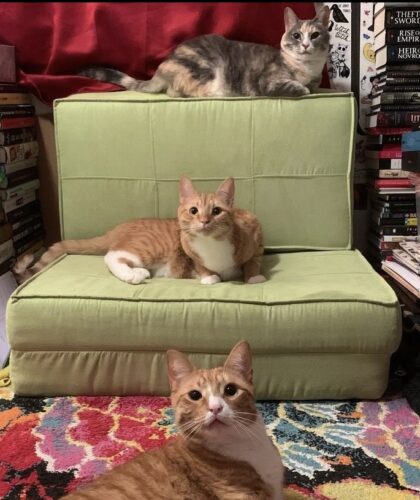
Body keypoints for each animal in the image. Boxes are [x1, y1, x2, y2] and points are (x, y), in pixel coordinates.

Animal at [14, 177, 268, 286]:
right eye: (194, 211)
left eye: (216, 211)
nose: (204, 221)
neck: (213, 246)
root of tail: (118, 227)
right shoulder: (188, 250)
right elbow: (202, 267)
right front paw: (209, 277)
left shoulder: (256, 234)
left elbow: (253, 261)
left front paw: (253, 276)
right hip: (147, 247)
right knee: (112, 256)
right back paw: (133, 275)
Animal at [78, 6, 328, 98]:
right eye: (296, 35)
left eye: (315, 35)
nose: (306, 44)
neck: (307, 68)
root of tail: (164, 65)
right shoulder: (269, 81)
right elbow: (299, 88)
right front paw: (303, 88)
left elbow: (313, 86)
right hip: (207, 70)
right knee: (176, 92)